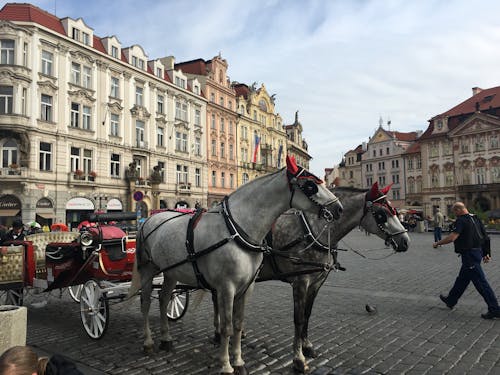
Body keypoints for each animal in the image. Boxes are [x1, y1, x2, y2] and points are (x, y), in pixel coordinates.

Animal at [127, 157, 342, 374]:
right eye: (310, 185)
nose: (338, 208)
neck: (237, 229)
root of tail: (149, 219)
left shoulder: (247, 287)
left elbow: (238, 324)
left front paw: (238, 362)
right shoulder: (226, 287)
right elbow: (226, 327)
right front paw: (226, 364)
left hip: (171, 272)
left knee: (163, 300)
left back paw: (166, 339)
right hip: (148, 270)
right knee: (145, 303)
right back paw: (148, 342)